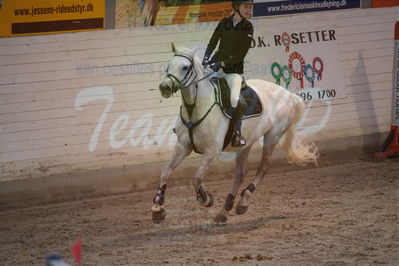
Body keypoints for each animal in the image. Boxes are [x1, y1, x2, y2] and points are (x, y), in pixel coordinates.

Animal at [152, 43, 320, 222]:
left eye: (185, 67)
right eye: (168, 66)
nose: (164, 87)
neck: (195, 108)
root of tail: (287, 93)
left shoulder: (212, 151)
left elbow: (196, 178)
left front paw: (206, 199)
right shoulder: (183, 146)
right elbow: (165, 172)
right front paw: (157, 208)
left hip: (273, 135)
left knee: (263, 167)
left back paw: (243, 201)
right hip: (246, 143)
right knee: (241, 174)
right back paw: (225, 209)